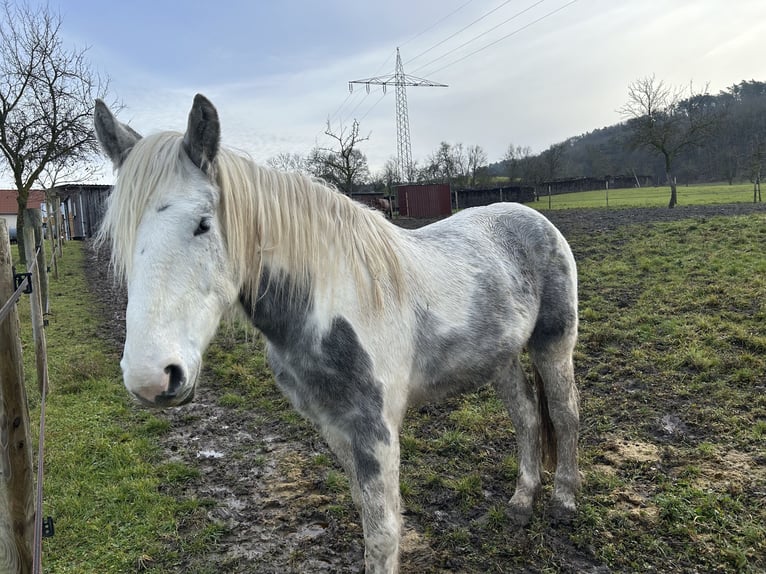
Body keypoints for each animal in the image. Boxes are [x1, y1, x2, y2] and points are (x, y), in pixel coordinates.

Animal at [91, 95, 584, 574]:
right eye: (122, 239)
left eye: (203, 224)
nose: (152, 378)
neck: (328, 305)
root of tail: (531, 217)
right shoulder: (333, 424)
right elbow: (365, 515)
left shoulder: (375, 429)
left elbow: (383, 533)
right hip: (500, 357)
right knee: (526, 417)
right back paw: (521, 502)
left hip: (553, 345)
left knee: (564, 415)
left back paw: (563, 502)